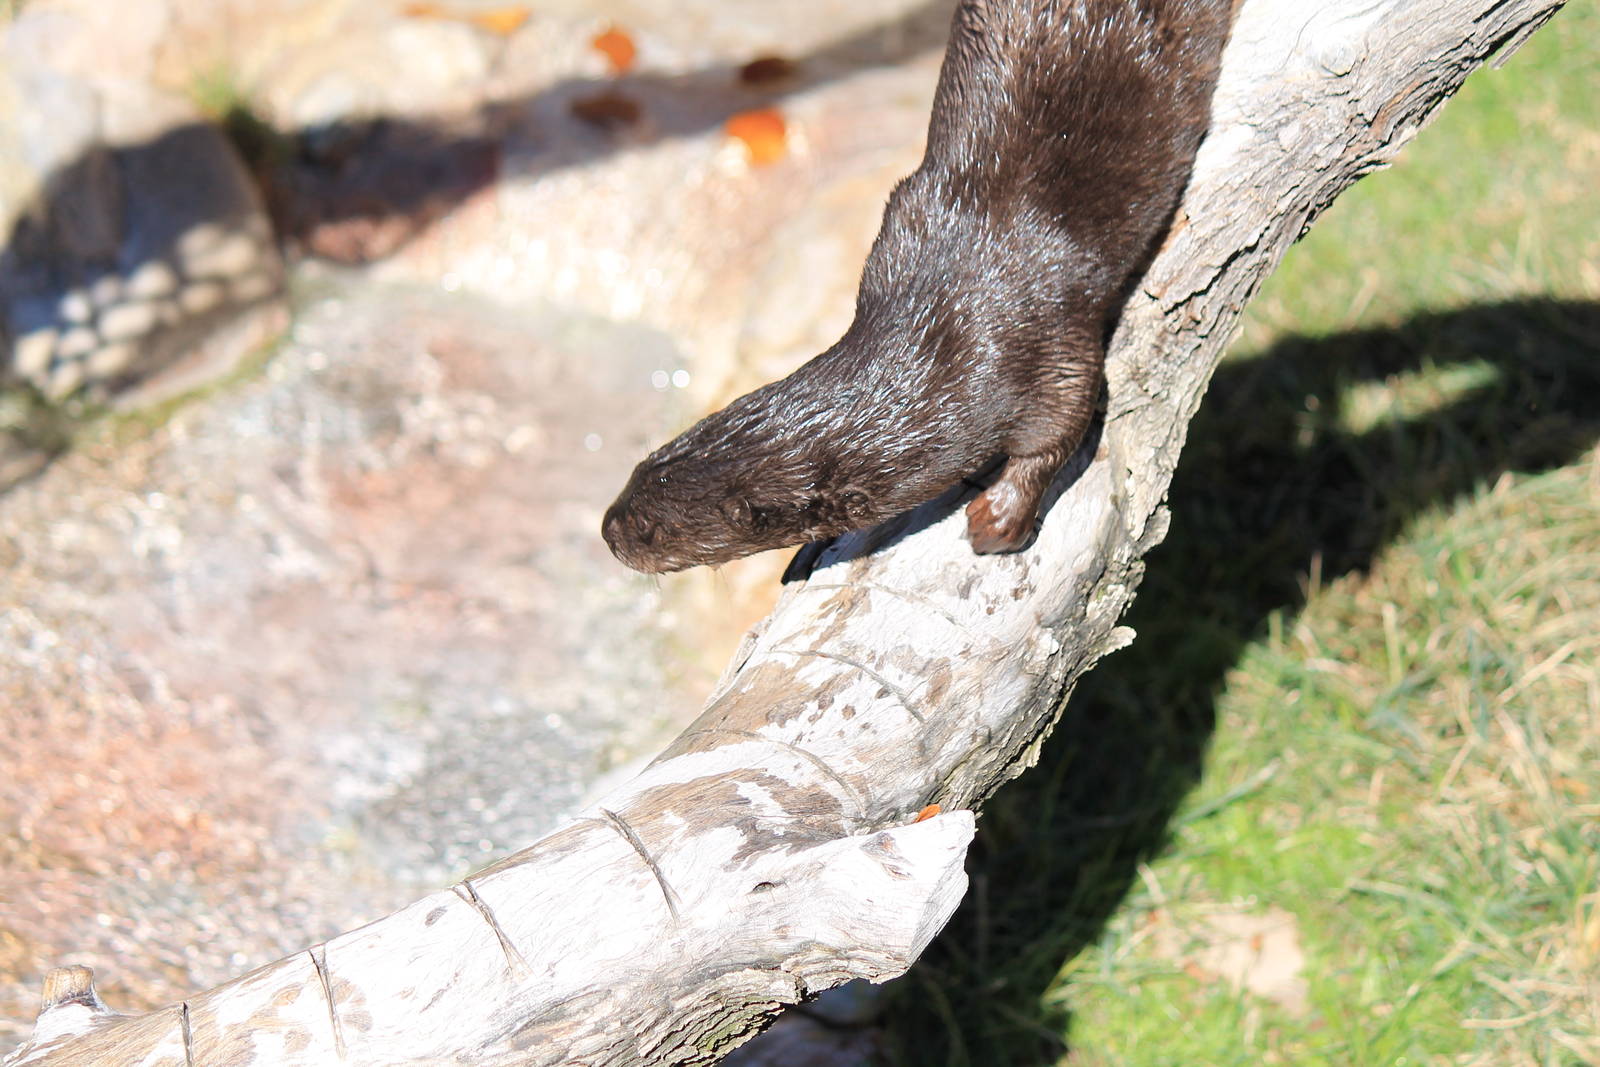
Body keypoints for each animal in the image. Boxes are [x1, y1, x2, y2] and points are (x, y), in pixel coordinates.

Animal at [604, 0, 1233, 574]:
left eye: (651, 529)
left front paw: (998, 518)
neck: (939, 320)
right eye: (634, 474)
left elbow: (1063, 426)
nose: (608, 529)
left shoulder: (1046, 342)